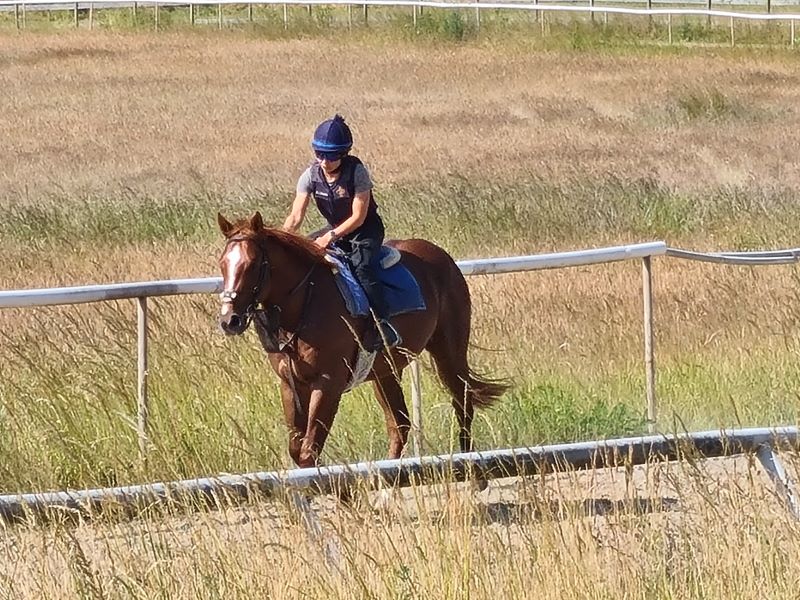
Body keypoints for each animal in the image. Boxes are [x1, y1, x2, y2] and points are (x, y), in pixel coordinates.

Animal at [217, 211, 506, 468]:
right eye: (223, 264)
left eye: (253, 264)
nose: (229, 320)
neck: (302, 306)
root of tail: (442, 255)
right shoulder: (290, 384)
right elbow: (298, 450)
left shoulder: (329, 383)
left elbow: (309, 451)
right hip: (385, 371)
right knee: (399, 424)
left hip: (449, 350)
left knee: (463, 402)